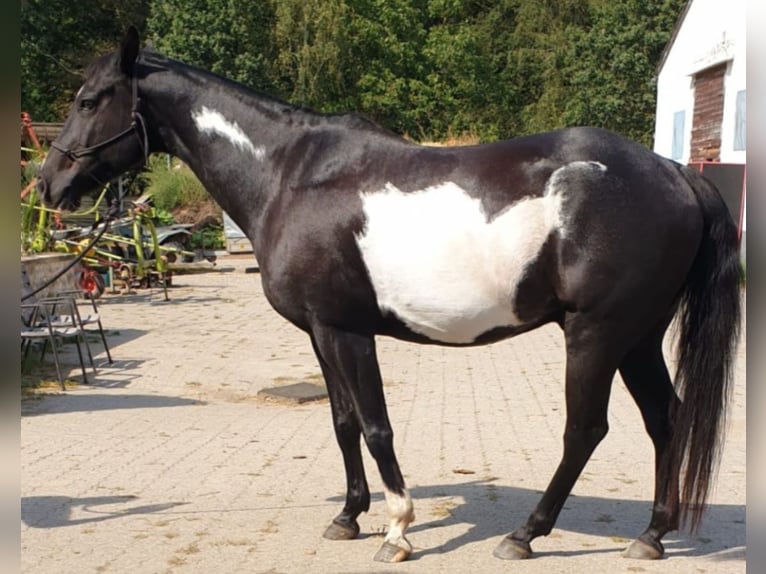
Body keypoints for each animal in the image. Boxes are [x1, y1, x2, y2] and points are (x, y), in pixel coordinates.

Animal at [38, 27, 741, 563]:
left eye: (91, 99)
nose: (49, 185)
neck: (289, 176)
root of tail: (673, 173)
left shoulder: (346, 330)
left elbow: (376, 427)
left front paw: (398, 529)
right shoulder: (320, 331)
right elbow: (343, 422)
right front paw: (349, 517)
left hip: (596, 333)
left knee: (585, 430)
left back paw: (525, 534)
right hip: (638, 337)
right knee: (665, 419)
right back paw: (652, 535)